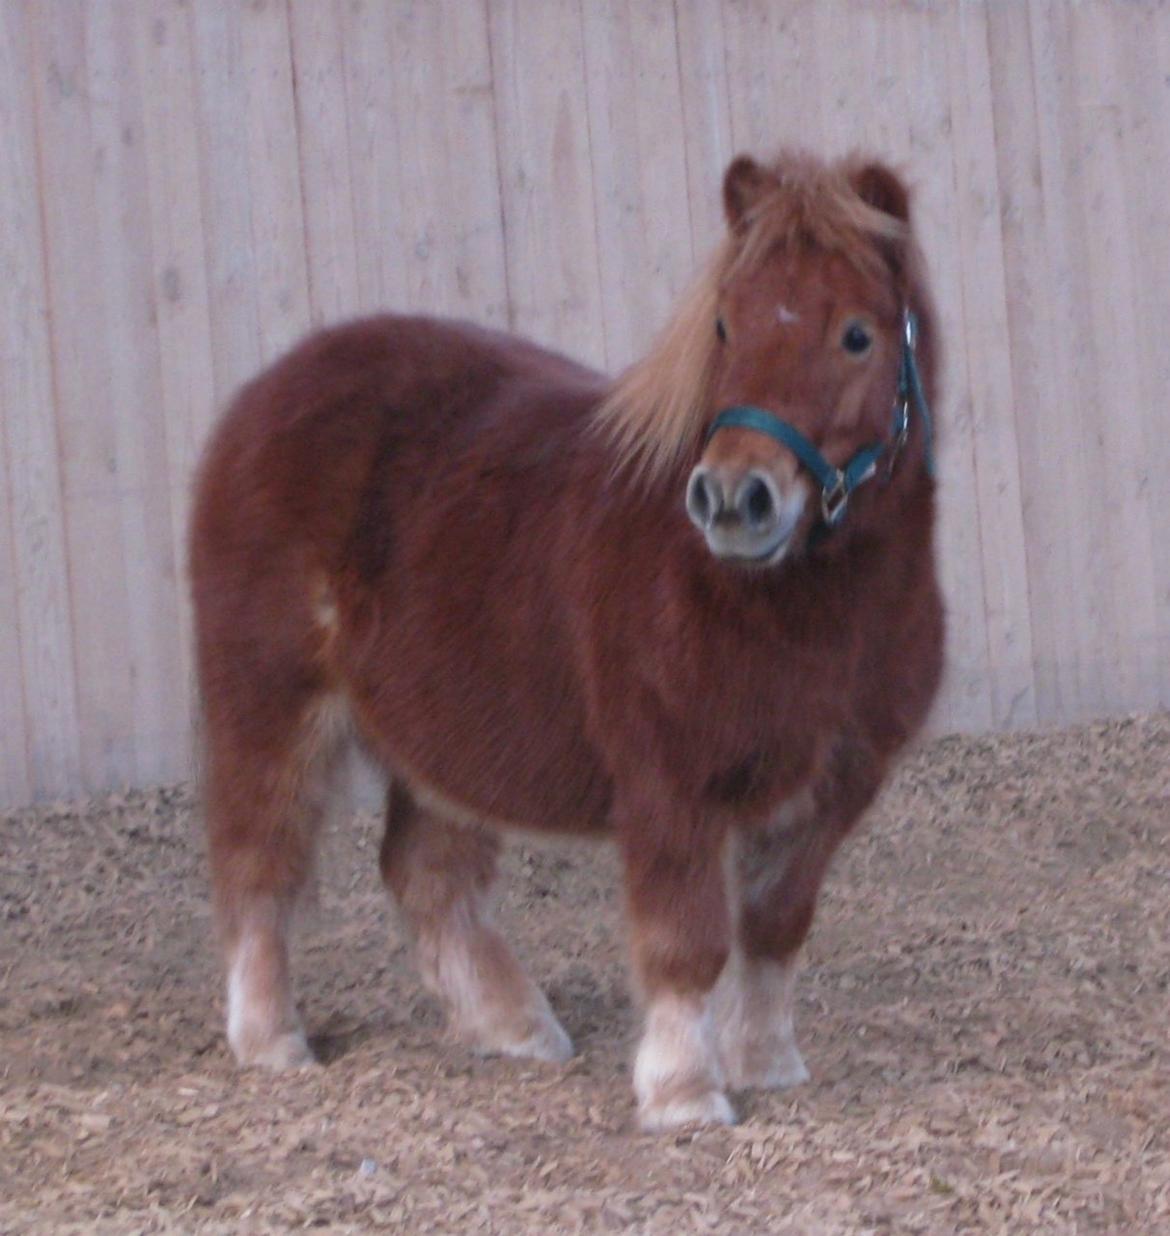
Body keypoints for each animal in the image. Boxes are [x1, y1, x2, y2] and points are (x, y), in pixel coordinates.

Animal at [190, 149, 943, 1127]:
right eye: (725, 326)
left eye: (857, 335)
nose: (733, 499)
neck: (799, 608)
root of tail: (267, 390)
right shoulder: (670, 785)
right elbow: (687, 940)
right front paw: (684, 1093)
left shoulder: (832, 789)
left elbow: (775, 928)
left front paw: (768, 1063)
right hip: (273, 707)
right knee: (260, 859)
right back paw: (273, 1041)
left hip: (446, 733)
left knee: (427, 873)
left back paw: (514, 1027)